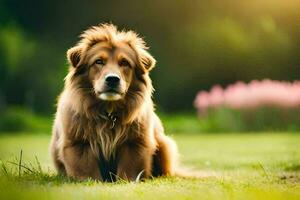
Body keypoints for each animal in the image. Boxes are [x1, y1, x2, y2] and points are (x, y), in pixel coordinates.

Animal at [50, 23, 179, 181]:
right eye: (98, 61)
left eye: (125, 63)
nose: (112, 79)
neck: (108, 113)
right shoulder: (77, 143)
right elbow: (86, 169)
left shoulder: (135, 143)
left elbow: (130, 169)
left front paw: (127, 181)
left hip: (164, 144)